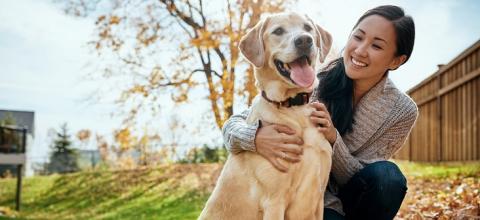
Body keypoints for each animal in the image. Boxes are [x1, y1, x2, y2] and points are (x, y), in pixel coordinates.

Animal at [198, 12, 330, 220]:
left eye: (308, 28)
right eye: (278, 31)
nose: (304, 40)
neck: (294, 108)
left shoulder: (318, 199)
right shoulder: (274, 201)